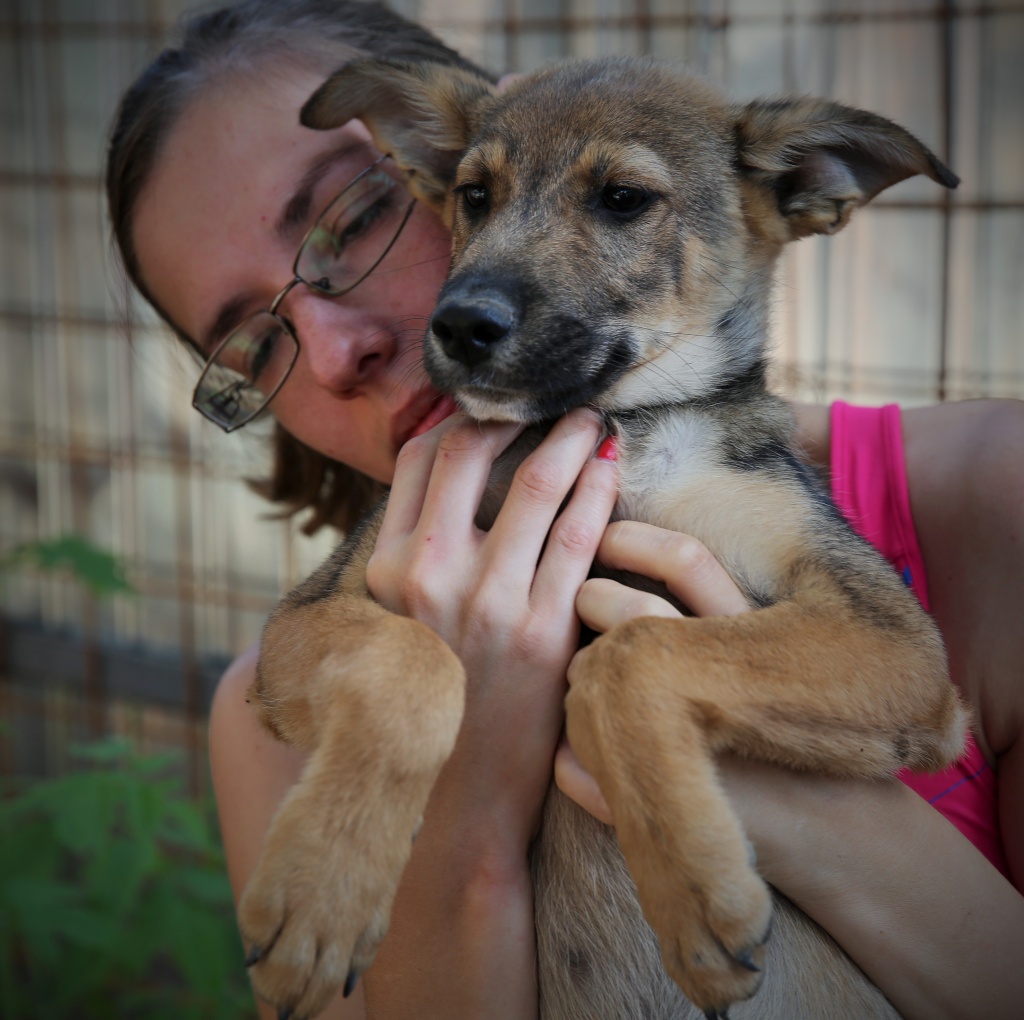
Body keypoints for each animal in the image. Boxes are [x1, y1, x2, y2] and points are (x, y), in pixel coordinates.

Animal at [239, 57, 966, 1020]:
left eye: (623, 199)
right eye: (475, 194)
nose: (459, 325)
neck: (616, 427)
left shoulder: (897, 642)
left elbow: (632, 652)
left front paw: (693, 889)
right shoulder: (304, 620)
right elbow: (411, 659)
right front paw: (319, 889)